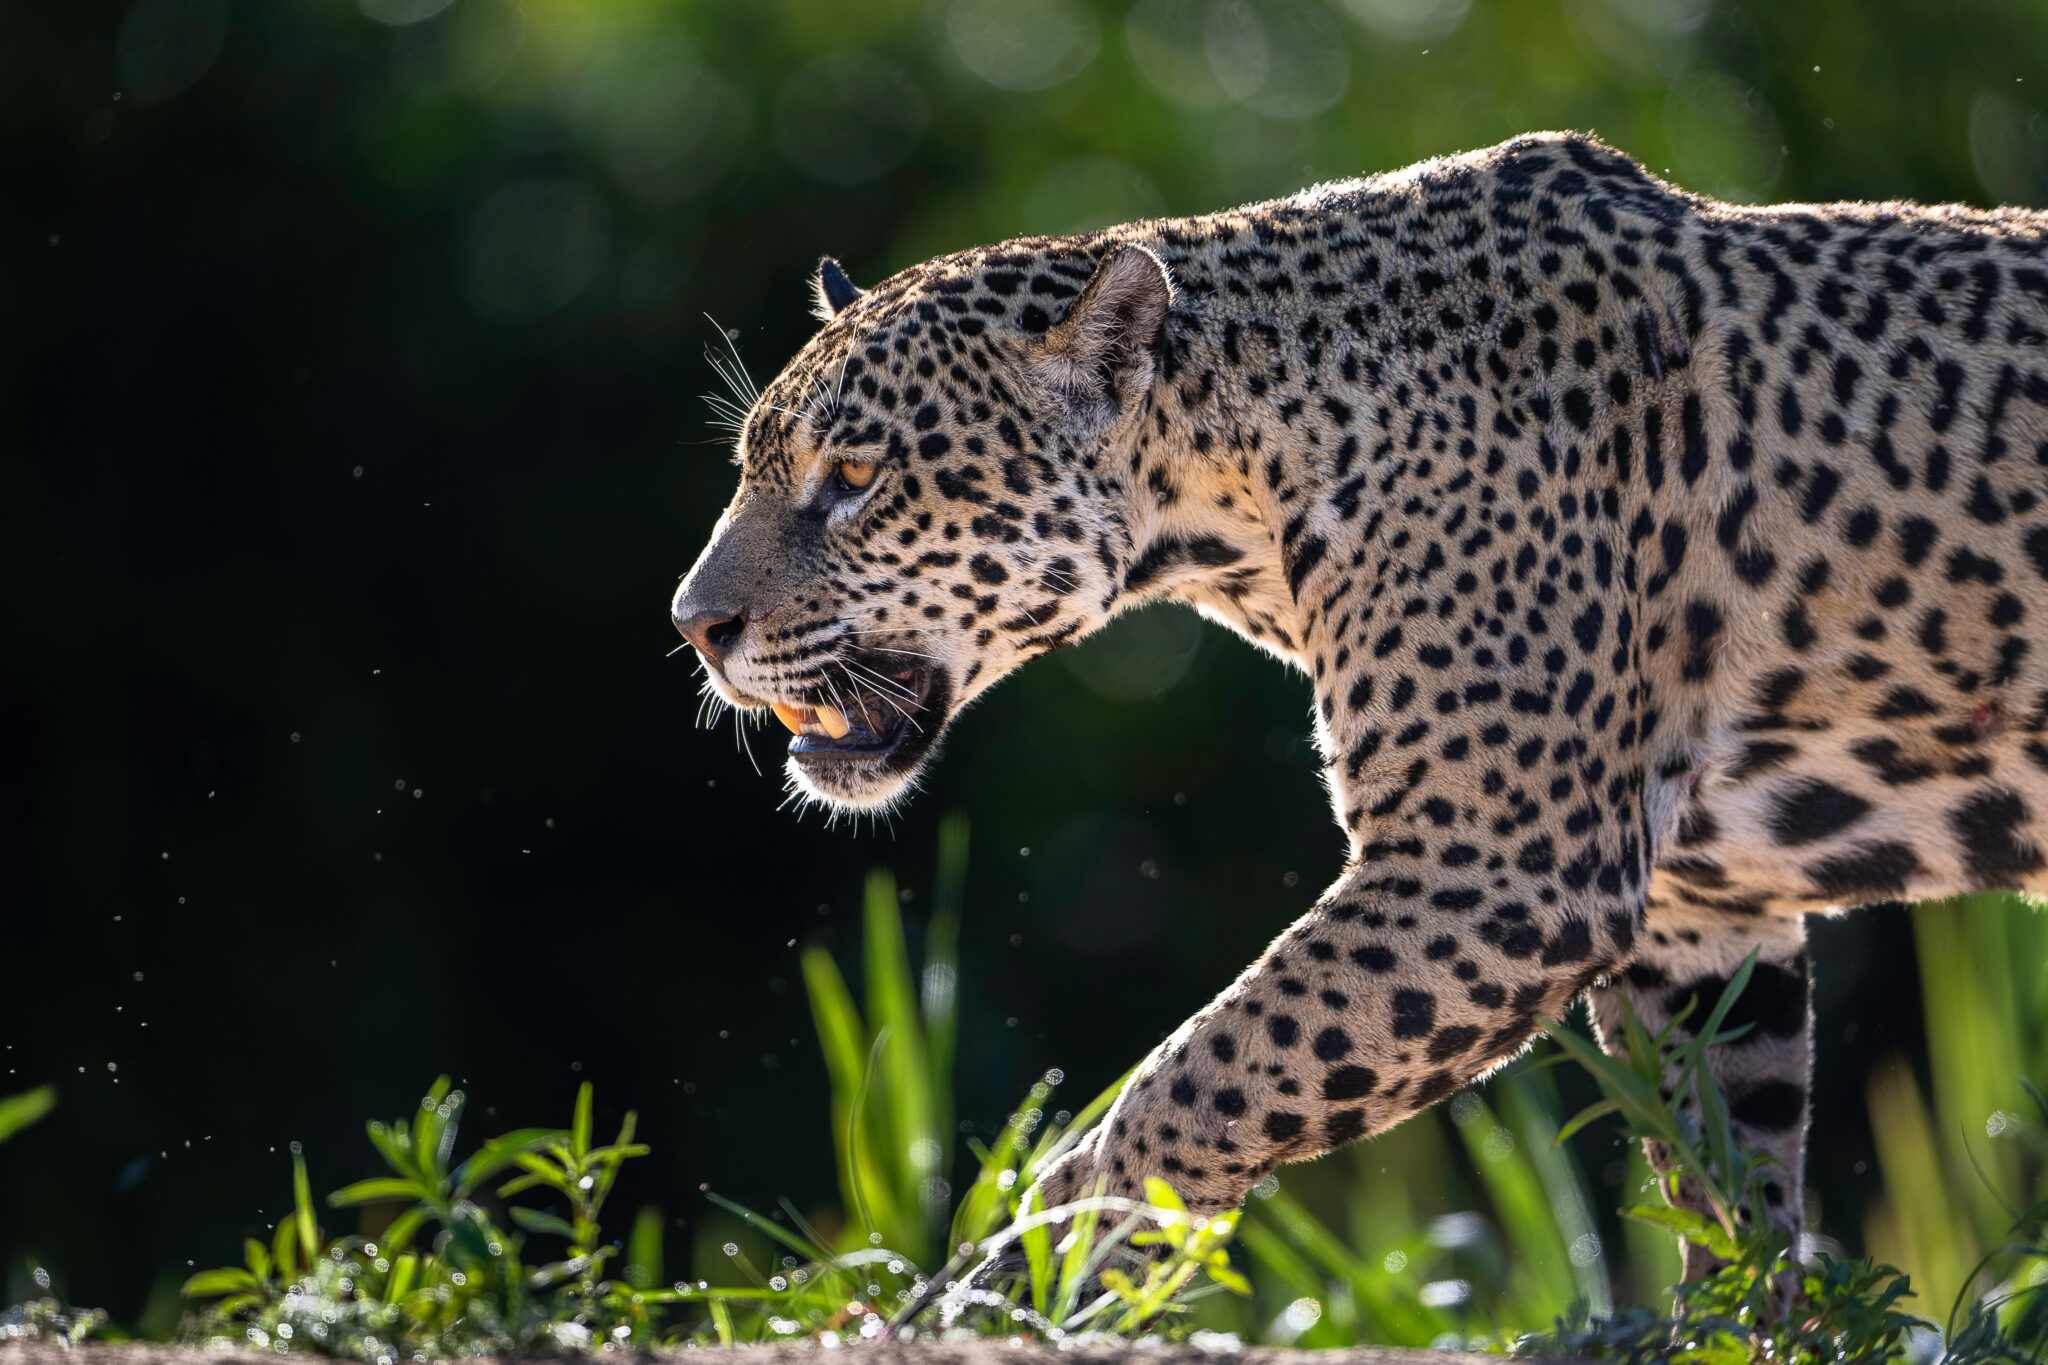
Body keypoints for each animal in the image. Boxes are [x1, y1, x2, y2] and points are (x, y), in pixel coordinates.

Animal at [669, 131, 2048, 1278]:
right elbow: (1728, 1190)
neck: (1248, 475)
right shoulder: (1699, 916)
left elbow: (1191, 1086)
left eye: (855, 478)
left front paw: (1018, 1281)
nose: (693, 625)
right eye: (749, 466)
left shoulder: (1496, 872)